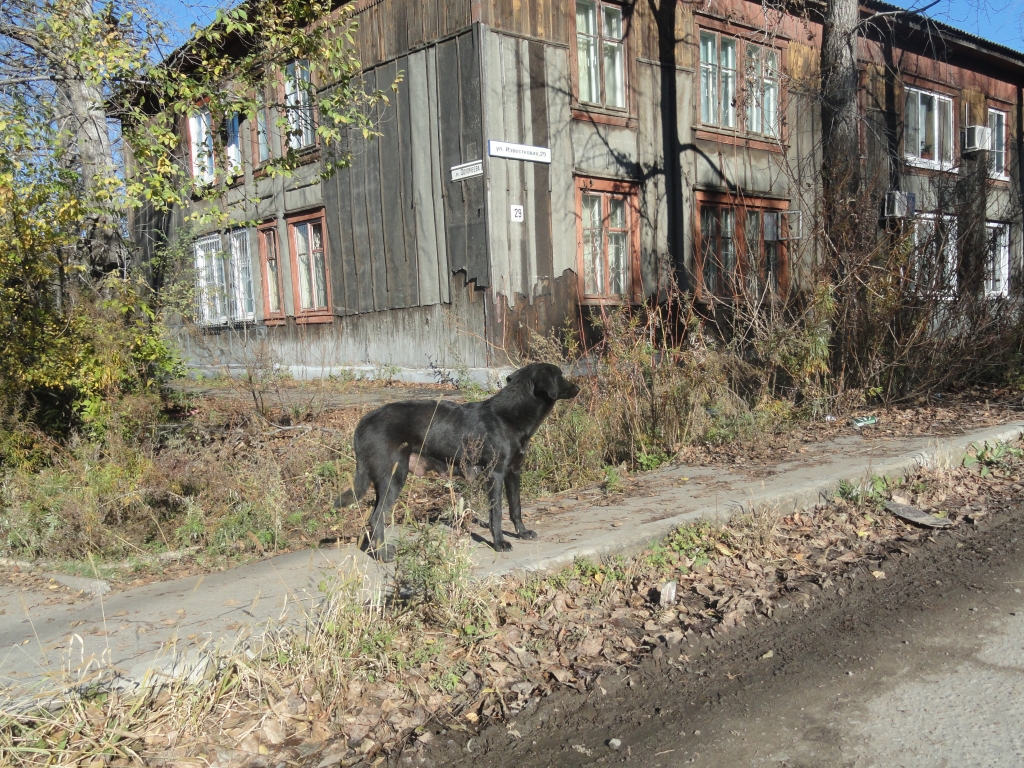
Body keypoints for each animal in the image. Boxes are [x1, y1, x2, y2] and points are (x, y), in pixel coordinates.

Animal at [333, 364, 577, 561]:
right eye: (560, 375)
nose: (578, 388)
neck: (509, 416)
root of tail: (365, 420)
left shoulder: (513, 472)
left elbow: (515, 507)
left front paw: (523, 533)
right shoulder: (495, 475)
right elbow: (496, 513)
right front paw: (499, 543)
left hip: (384, 481)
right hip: (394, 477)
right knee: (376, 518)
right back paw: (383, 555)